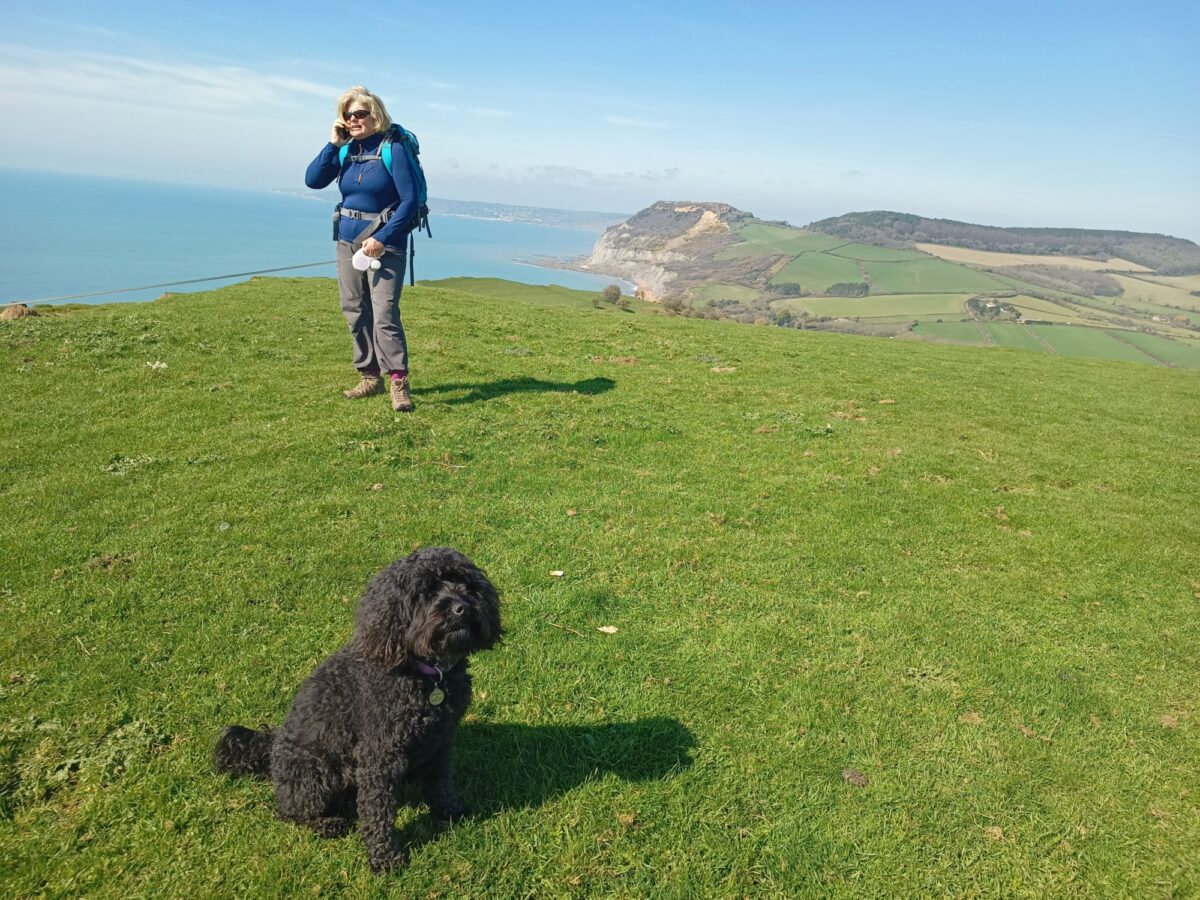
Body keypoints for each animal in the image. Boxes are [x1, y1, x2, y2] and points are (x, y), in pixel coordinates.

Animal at [213, 549, 499, 873]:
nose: (461, 607)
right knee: (289, 811)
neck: (428, 674)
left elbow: (440, 780)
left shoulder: (441, 740)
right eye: (426, 592)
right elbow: (377, 809)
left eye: (465, 585)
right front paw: (384, 856)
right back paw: (326, 824)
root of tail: (270, 748)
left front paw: (450, 809)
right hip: (314, 772)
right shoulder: (378, 754)